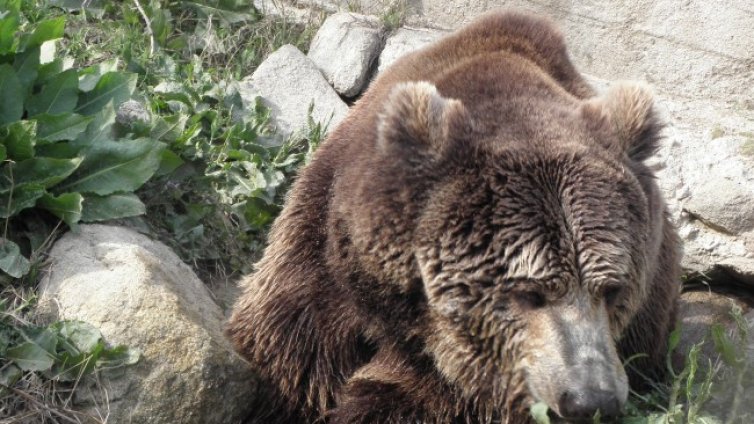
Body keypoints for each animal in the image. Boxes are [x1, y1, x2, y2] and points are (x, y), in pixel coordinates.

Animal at [226, 9, 680, 424]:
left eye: (613, 290)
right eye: (530, 292)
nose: (591, 399)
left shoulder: (462, 377)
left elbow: (403, 397)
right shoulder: (323, 251)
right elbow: (285, 349)